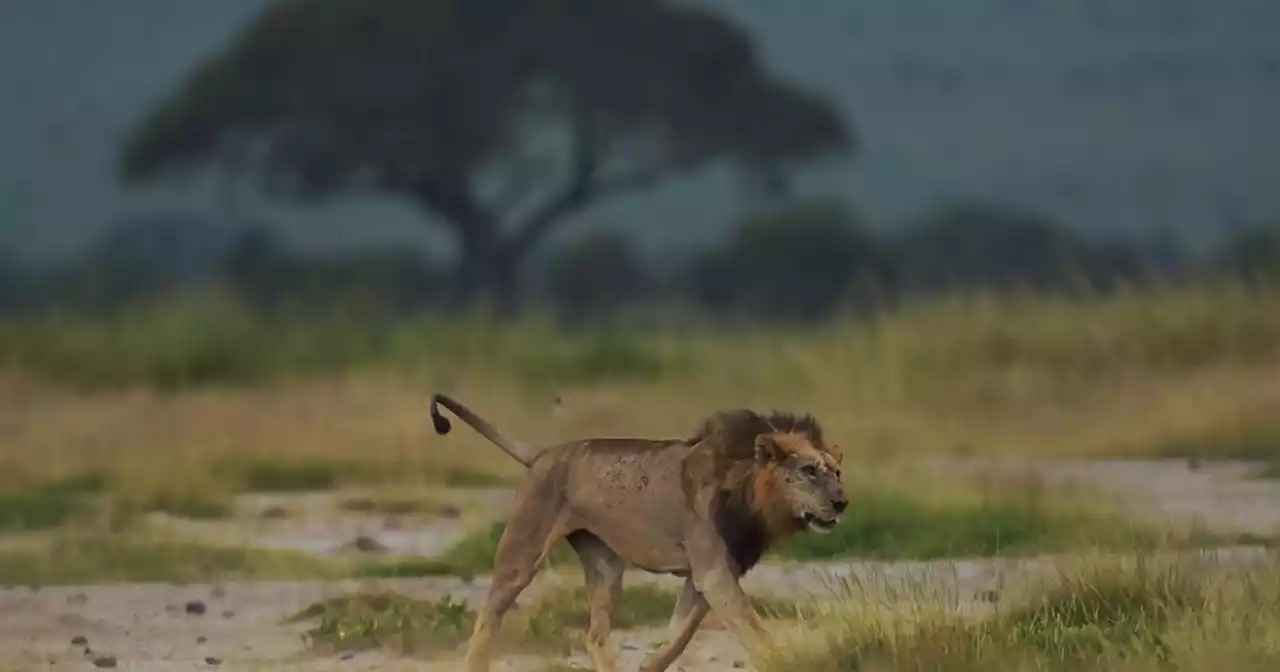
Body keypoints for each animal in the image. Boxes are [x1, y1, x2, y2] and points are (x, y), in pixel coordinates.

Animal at [430, 394, 849, 670]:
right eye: (809, 471)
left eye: (836, 472)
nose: (842, 502)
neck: (751, 492)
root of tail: (543, 453)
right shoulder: (713, 572)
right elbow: (755, 632)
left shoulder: (706, 576)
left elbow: (677, 638)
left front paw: (649, 663)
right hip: (523, 550)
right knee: (486, 622)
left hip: (606, 567)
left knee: (595, 634)